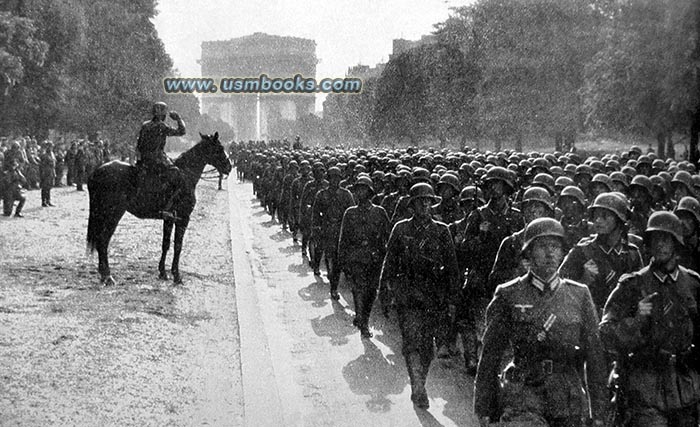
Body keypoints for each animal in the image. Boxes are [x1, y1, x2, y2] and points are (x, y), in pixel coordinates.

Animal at [87, 132, 232, 286]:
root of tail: (96, 172)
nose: (229, 167)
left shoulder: (169, 219)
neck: (186, 175)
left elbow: (166, 244)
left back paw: (103, 274)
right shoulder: (183, 218)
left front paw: (163, 272)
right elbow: (178, 246)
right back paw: (108, 276)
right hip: (113, 214)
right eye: (220, 148)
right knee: (103, 240)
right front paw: (176, 275)